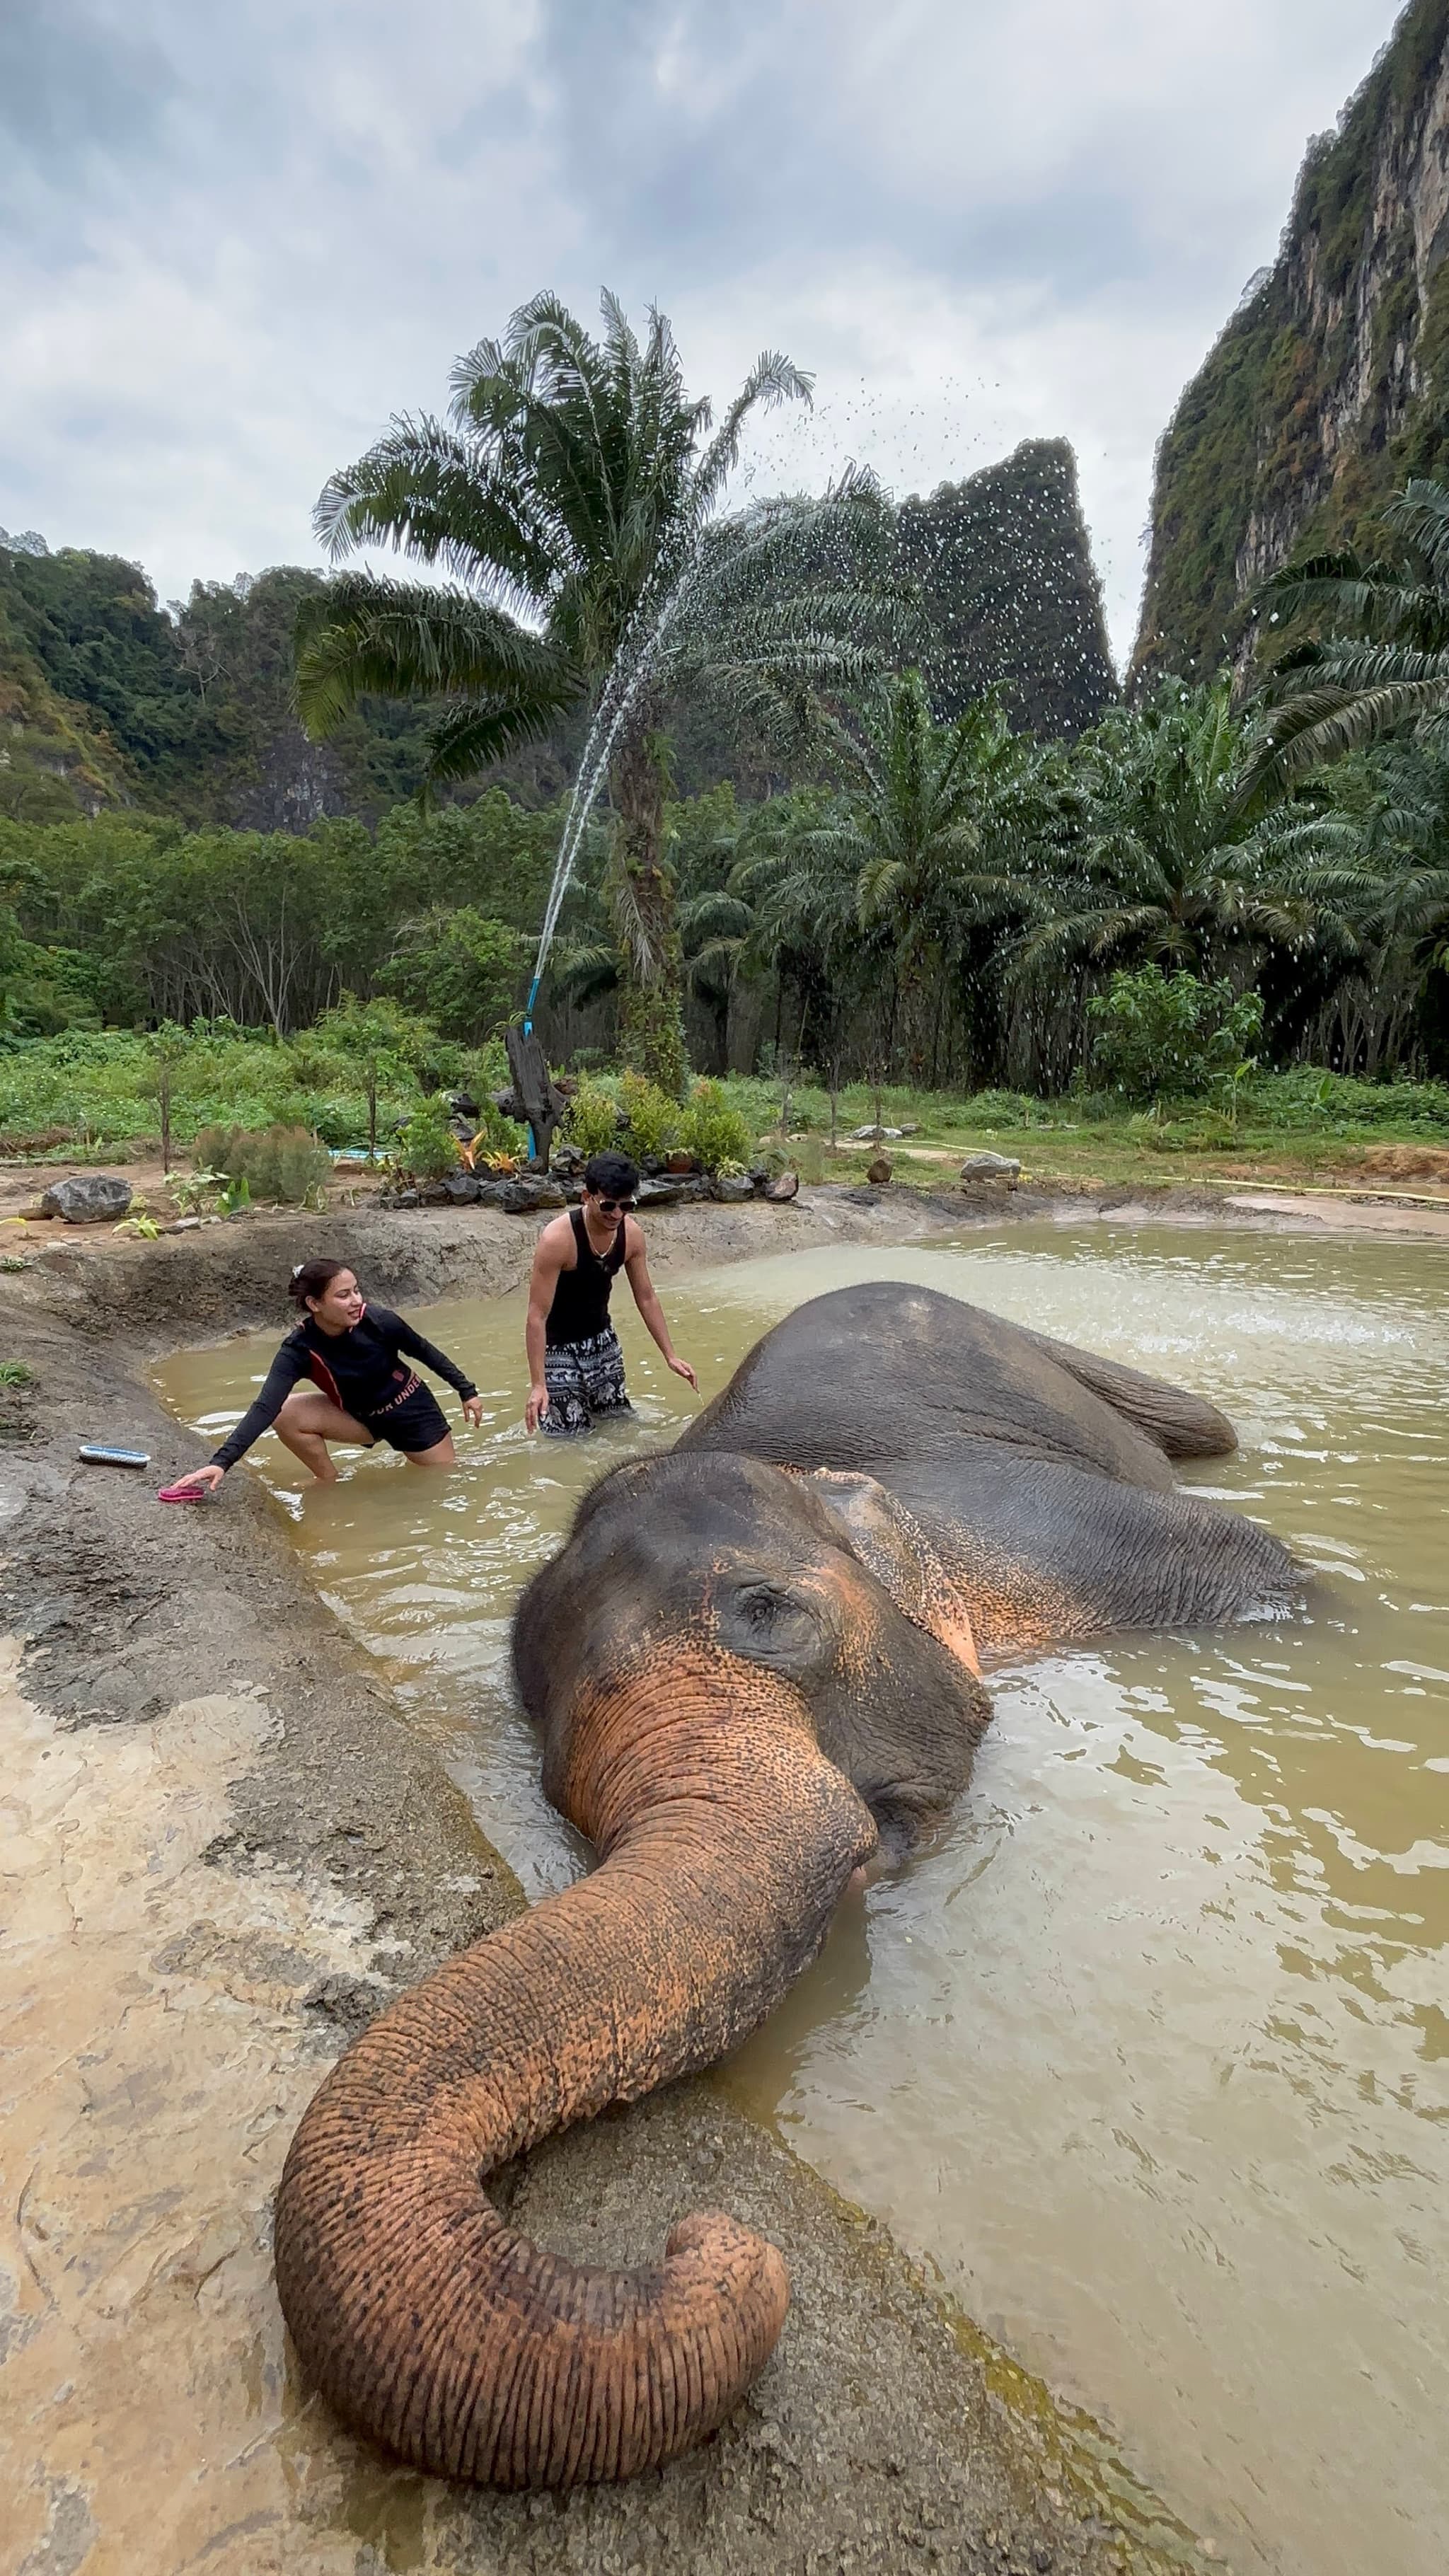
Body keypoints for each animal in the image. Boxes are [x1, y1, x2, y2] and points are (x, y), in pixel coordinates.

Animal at [273, 1282, 1300, 2491]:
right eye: (553, 1775)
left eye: (768, 1614)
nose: (707, 2237)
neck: (819, 1484)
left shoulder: (1075, 1543)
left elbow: (1270, 1568)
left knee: (1203, 1425)